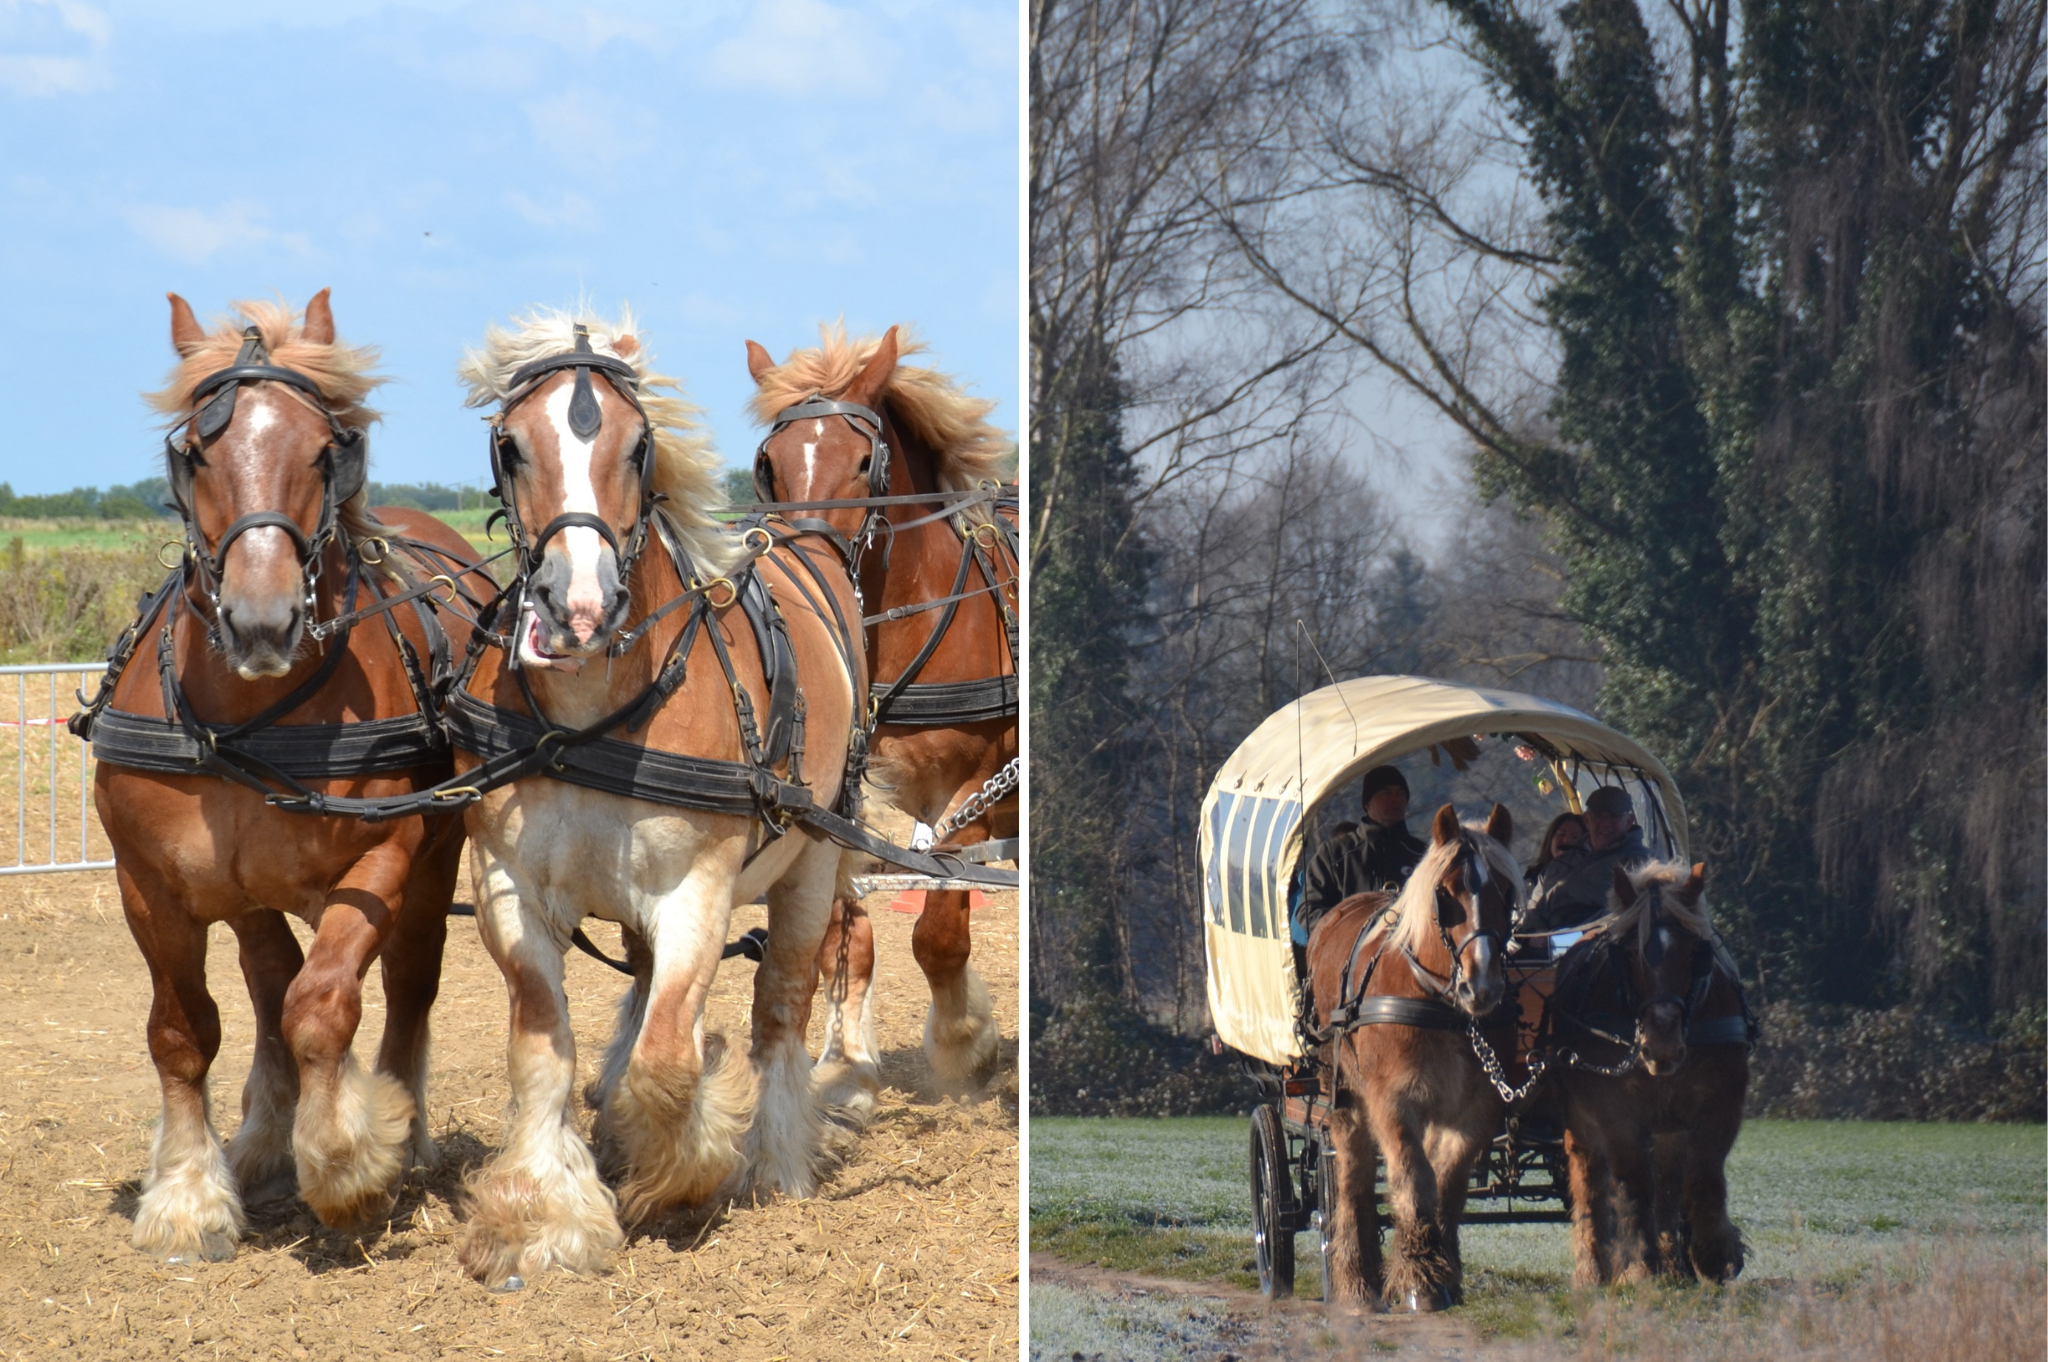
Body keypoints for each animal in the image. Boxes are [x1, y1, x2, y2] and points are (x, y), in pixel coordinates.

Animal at [86, 292, 491, 1262]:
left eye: (323, 449)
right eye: (197, 452)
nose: (262, 622)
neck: (246, 713)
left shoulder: (385, 858)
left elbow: (323, 1005)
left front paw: (349, 1162)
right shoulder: (147, 883)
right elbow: (182, 1031)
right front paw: (189, 1195)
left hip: (432, 865)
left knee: (401, 986)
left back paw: (399, 1126)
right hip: (243, 887)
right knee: (266, 976)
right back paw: (266, 1136)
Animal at [448, 308, 865, 1290]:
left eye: (638, 447)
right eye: (510, 445)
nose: (580, 608)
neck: (589, 717)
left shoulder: (695, 888)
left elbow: (673, 1057)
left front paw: (677, 1166)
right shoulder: (506, 883)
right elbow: (540, 1050)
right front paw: (542, 1217)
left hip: (813, 866)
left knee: (781, 1006)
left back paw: (773, 1161)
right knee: (642, 989)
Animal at [743, 325, 1017, 1101]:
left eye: (865, 461)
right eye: (768, 464)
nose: (803, 563)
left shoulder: (977, 792)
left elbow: (938, 933)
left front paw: (965, 1042)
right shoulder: (840, 799)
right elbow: (844, 928)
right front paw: (846, 1061)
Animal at [1306, 803, 1520, 1312]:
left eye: (1506, 892)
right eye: (1445, 894)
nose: (1482, 986)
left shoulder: (1474, 1110)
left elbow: (1448, 1185)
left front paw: (1443, 1272)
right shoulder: (1393, 1102)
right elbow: (1412, 1181)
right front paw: (1418, 1276)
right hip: (1341, 1095)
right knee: (1353, 1175)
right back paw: (1355, 1277)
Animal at [1547, 861, 1751, 1285]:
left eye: (1695, 951)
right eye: (1628, 953)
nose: (1662, 1046)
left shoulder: (1724, 1101)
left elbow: (1703, 1176)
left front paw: (1713, 1254)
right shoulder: (1615, 1111)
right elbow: (1634, 1181)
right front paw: (1640, 1263)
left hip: (1669, 1126)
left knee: (1670, 1185)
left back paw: (1674, 1264)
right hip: (1580, 1120)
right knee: (1589, 1179)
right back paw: (1594, 1265)